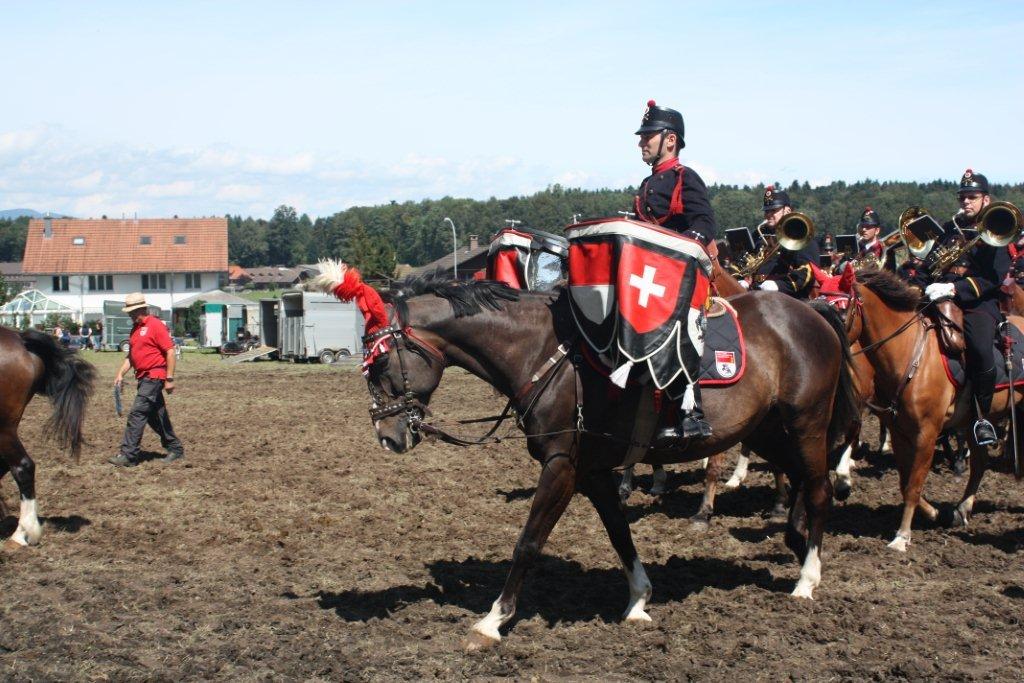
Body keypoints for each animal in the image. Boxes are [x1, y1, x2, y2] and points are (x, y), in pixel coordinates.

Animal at [318, 269, 858, 649]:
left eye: (380, 364)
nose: (388, 436)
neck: (547, 352)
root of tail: (811, 312)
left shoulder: (562, 467)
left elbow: (529, 542)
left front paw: (493, 619)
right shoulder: (594, 472)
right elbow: (620, 535)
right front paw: (639, 600)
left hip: (805, 424)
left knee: (819, 489)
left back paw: (807, 577)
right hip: (768, 431)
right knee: (799, 484)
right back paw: (795, 544)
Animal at [824, 268, 1024, 550]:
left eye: (841, 309)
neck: (908, 354)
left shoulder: (927, 434)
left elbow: (914, 484)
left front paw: (902, 536)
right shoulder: (900, 432)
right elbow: (905, 481)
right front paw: (937, 514)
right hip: (973, 421)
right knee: (979, 463)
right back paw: (962, 509)